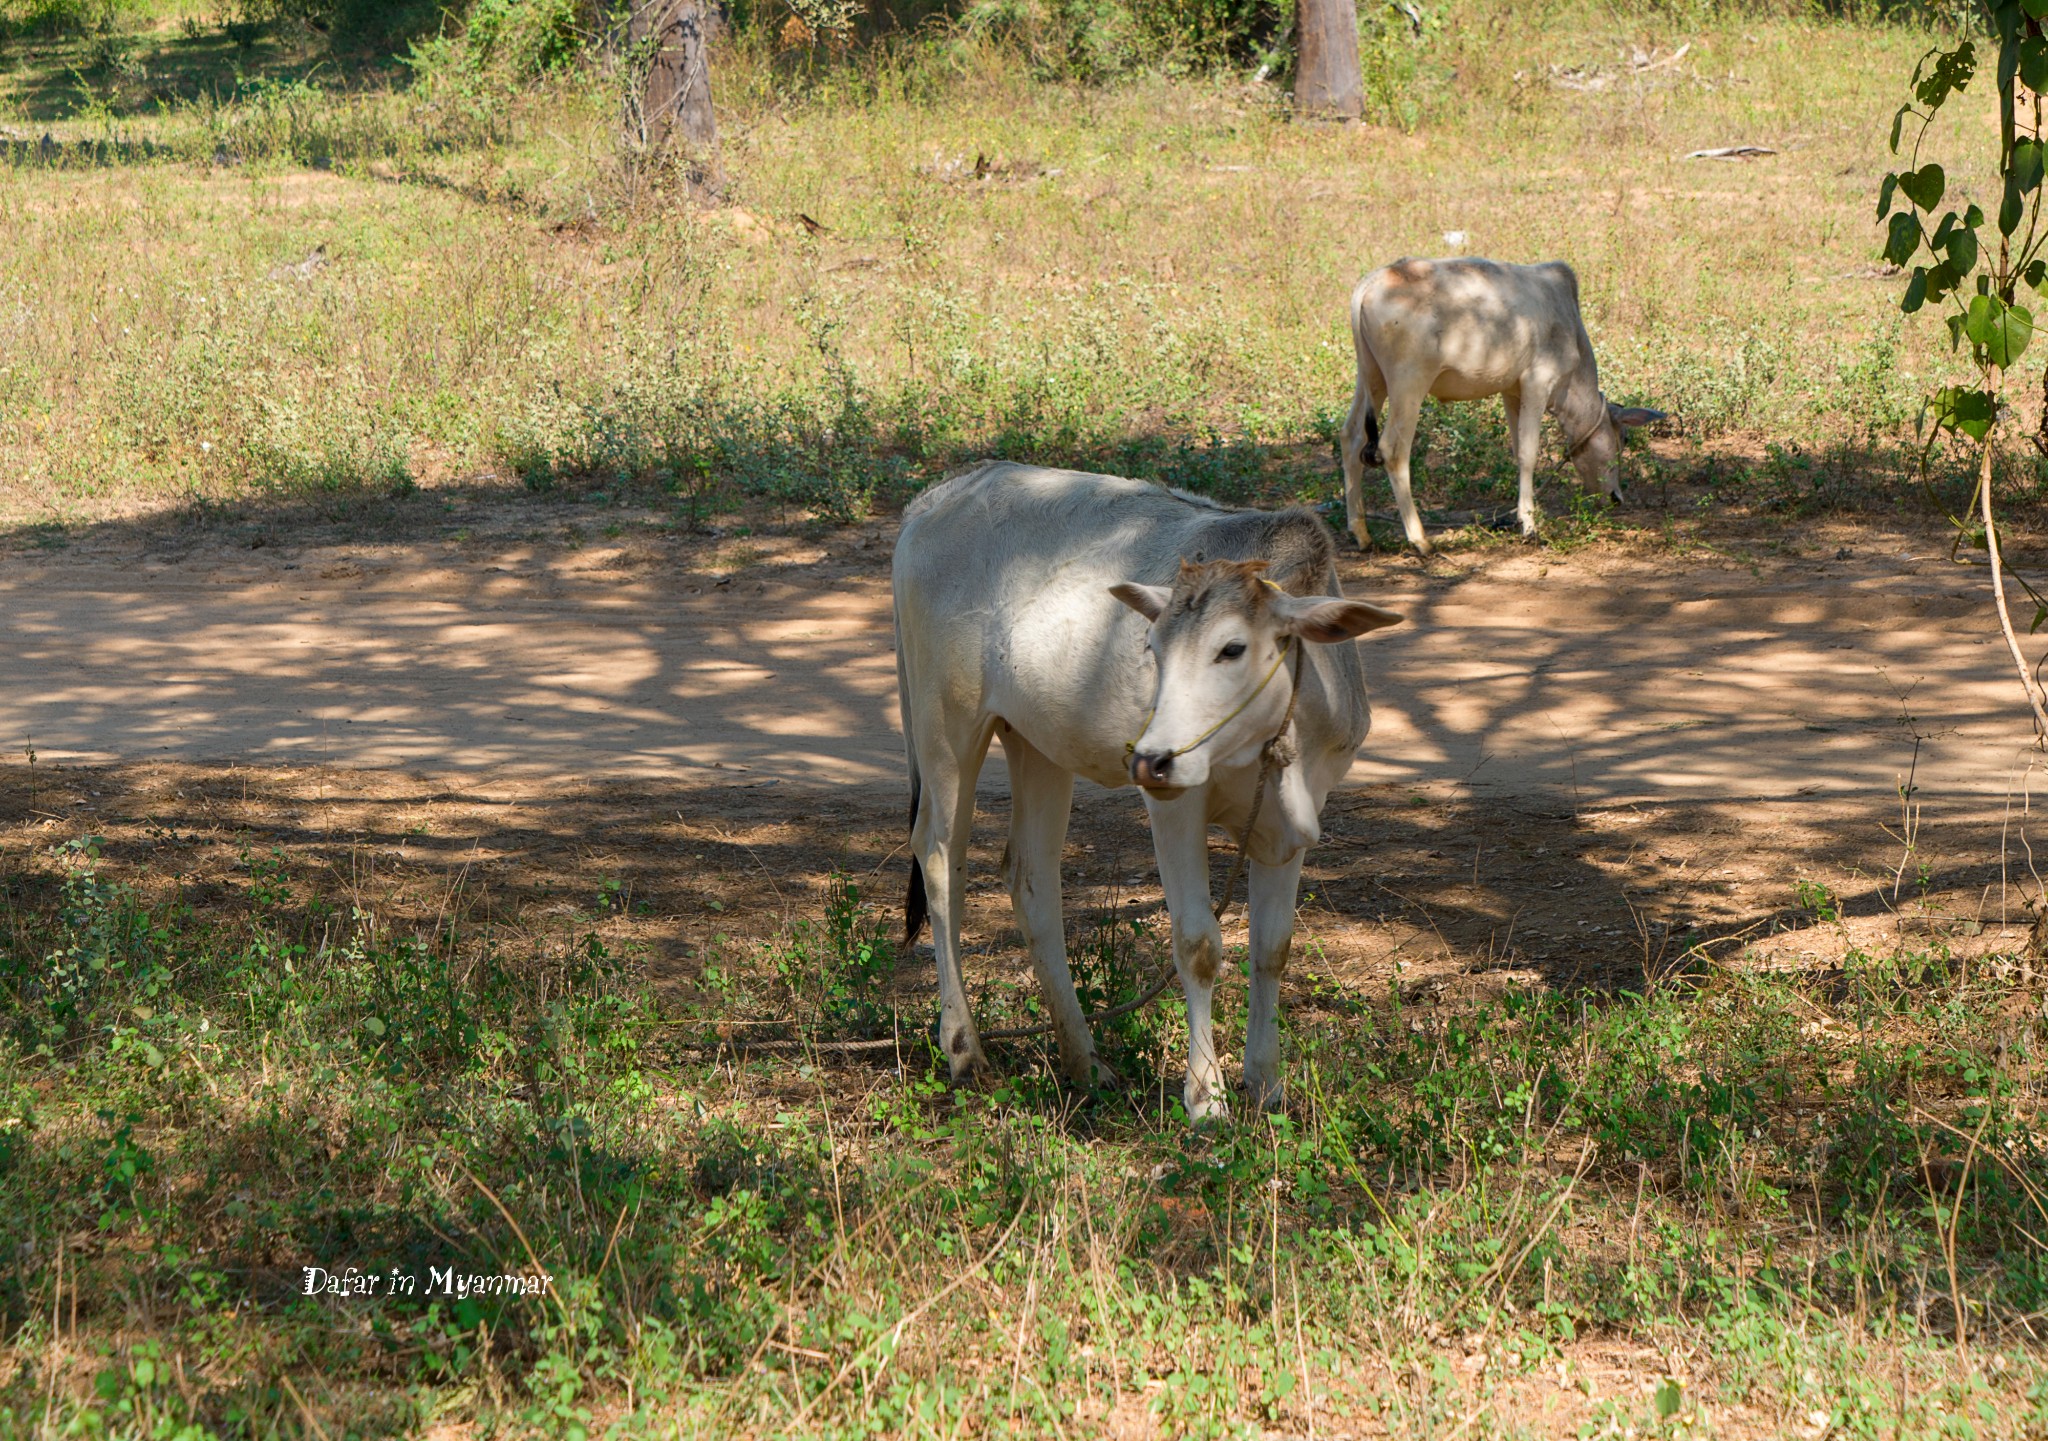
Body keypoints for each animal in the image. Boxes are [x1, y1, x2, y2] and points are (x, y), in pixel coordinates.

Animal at [901, 458, 1409, 1113]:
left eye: (1232, 648)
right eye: (1152, 648)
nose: (1149, 759)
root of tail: (943, 495)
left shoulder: (1293, 820)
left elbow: (1272, 948)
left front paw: (1266, 1086)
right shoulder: (1174, 806)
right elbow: (1198, 944)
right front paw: (1206, 1097)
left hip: (1035, 742)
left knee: (1032, 877)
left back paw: (1085, 1062)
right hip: (946, 727)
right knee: (941, 861)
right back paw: (965, 1048)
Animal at [1343, 255, 1662, 552]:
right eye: (1624, 437)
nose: (1616, 498)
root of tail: (1373, 281)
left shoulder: (1512, 392)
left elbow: (1518, 450)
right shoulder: (1538, 383)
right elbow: (1529, 453)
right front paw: (1530, 525)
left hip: (1371, 379)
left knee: (1352, 437)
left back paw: (1361, 533)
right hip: (1408, 383)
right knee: (1393, 450)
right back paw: (1420, 540)